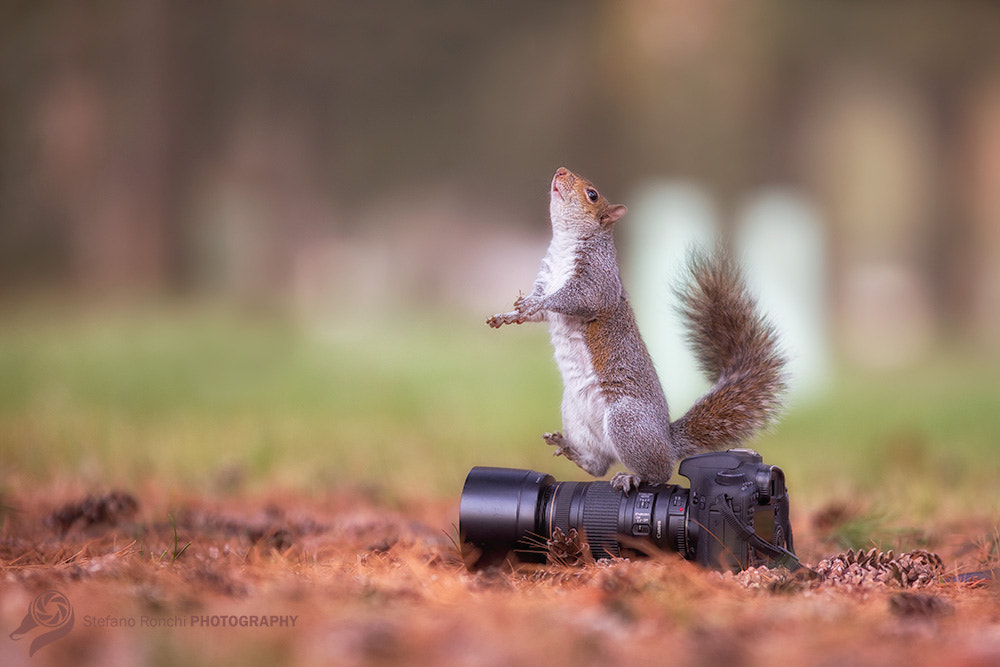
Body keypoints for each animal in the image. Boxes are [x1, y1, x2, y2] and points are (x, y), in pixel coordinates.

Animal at [486, 164, 788, 494]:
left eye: (592, 194)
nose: (561, 170)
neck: (566, 244)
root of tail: (668, 443)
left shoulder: (598, 279)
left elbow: (573, 299)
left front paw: (533, 304)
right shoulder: (546, 277)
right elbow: (539, 312)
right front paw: (508, 315)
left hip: (626, 422)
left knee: (658, 472)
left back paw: (633, 476)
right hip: (575, 415)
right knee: (598, 465)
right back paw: (572, 451)